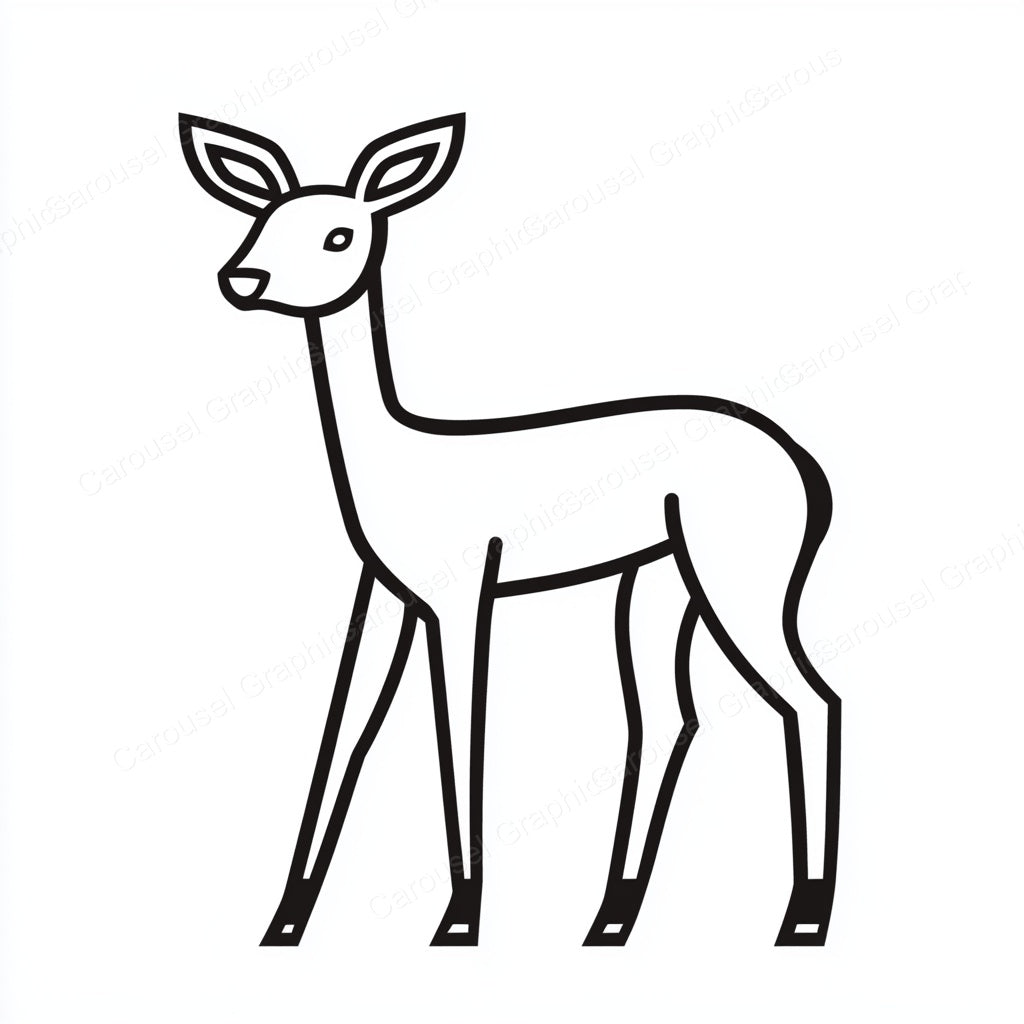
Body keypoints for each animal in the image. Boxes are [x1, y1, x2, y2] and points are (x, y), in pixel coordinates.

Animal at [179, 111, 841, 948]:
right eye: (263, 220)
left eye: (339, 235)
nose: (243, 279)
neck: (399, 462)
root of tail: (805, 469)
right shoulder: (384, 599)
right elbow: (342, 737)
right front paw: (283, 924)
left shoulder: (463, 595)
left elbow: (461, 733)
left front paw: (459, 921)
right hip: (657, 585)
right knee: (667, 719)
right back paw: (609, 920)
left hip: (739, 576)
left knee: (810, 700)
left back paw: (802, 918)